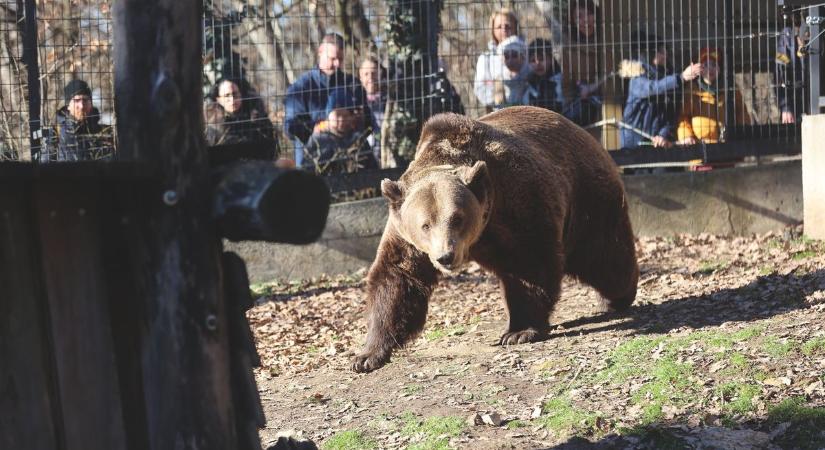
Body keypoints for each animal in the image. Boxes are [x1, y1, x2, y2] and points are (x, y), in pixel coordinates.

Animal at [350, 105, 640, 372]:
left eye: (457, 218)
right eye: (425, 225)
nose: (446, 256)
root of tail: (585, 134)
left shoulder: (516, 202)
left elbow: (529, 265)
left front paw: (518, 331)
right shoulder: (406, 238)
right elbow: (397, 280)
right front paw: (367, 356)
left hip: (587, 200)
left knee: (606, 259)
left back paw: (616, 298)